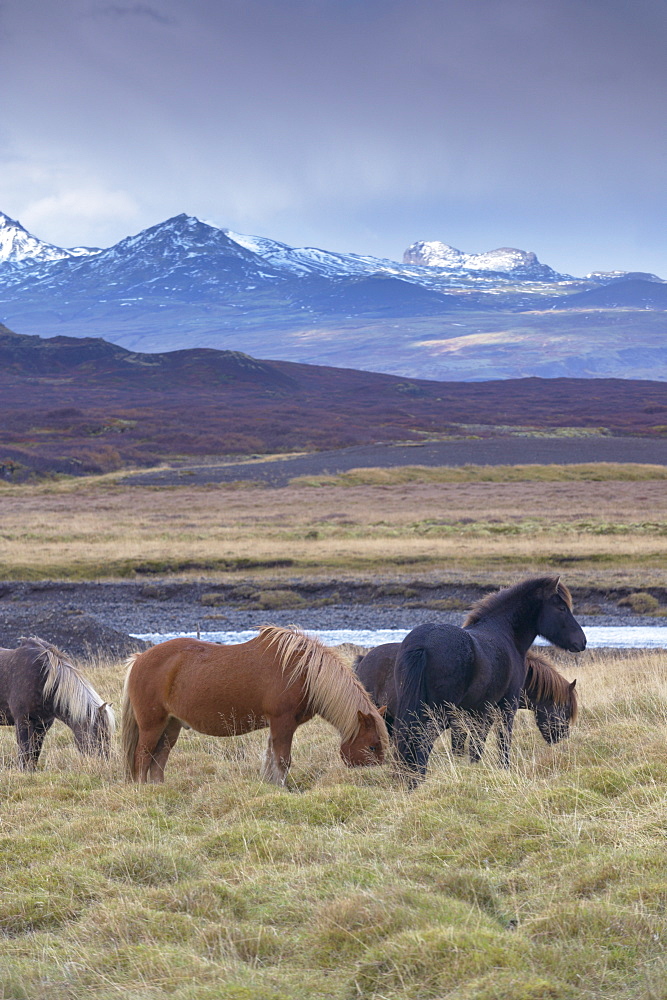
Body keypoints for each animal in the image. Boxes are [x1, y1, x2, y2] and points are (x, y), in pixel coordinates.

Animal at [0, 636, 115, 768]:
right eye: (98, 732)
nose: (104, 762)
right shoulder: (22, 721)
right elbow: (24, 752)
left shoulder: (42, 725)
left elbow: (35, 752)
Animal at [122, 628, 388, 784]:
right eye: (373, 747)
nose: (379, 779)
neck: (303, 671)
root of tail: (139, 660)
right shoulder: (283, 722)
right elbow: (282, 761)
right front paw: (282, 789)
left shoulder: (277, 725)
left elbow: (270, 757)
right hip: (152, 725)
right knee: (142, 757)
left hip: (171, 725)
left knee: (159, 757)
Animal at [392, 580, 584, 780]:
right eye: (561, 608)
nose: (582, 641)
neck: (505, 633)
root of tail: (422, 644)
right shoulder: (505, 707)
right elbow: (501, 742)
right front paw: (503, 769)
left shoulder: (475, 714)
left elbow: (473, 747)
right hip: (437, 714)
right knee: (422, 743)